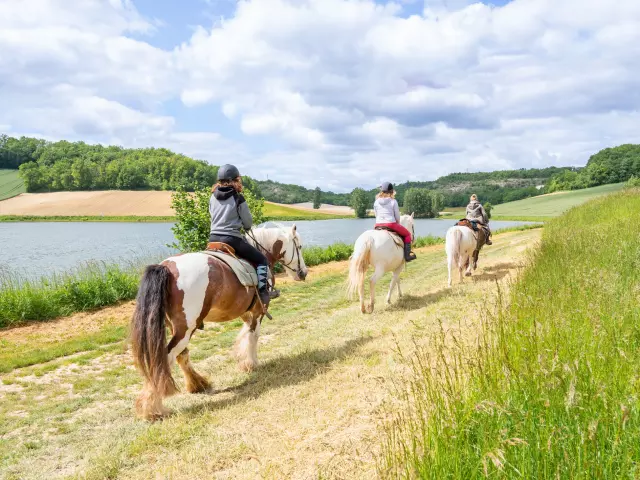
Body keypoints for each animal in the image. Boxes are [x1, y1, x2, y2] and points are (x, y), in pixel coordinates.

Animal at [130, 224, 308, 420]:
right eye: (299, 247)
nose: (303, 272)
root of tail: (167, 267)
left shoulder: (244, 312)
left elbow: (245, 333)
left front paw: (243, 360)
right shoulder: (258, 311)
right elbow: (253, 336)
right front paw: (251, 364)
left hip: (177, 327)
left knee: (181, 355)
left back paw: (197, 384)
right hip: (186, 329)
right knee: (165, 359)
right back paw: (152, 409)